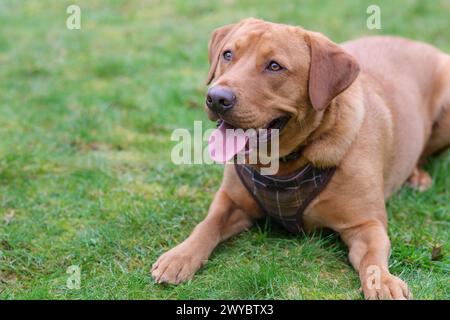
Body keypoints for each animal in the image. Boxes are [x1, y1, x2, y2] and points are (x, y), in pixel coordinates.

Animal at [152, 18, 450, 298]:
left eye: (274, 66)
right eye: (227, 54)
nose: (216, 98)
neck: (282, 164)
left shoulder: (366, 224)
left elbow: (373, 257)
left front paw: (383, 281)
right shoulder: (231, 201)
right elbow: (206, 225)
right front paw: (180, 255)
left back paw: (418, 176)